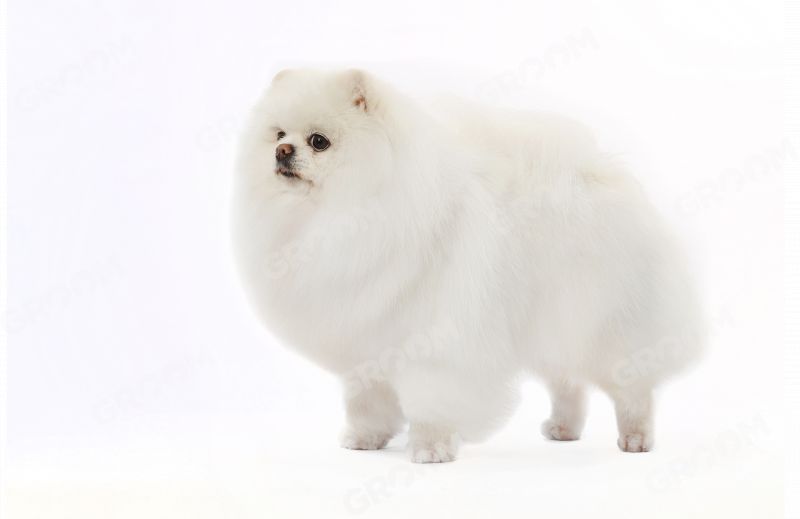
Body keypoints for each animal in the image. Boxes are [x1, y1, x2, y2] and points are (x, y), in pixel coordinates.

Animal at [232, 68, 705, 462]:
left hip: (602, 322)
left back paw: (635, 438)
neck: (330, 217)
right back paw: (563, 429)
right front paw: (365, 439)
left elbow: (431, 400)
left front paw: (430, 449)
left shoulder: (434, 343)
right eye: (278, 133)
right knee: (568, 383)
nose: (282, 151)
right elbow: (366, 401)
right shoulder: (366, 340)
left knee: (632, 387)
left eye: (319, 141)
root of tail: (600, 174)